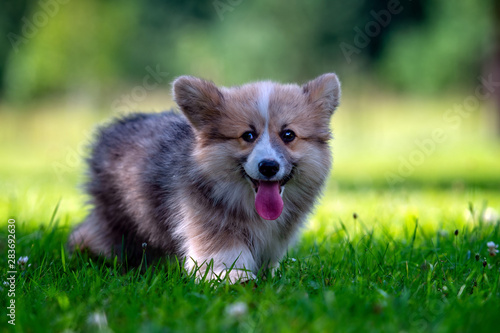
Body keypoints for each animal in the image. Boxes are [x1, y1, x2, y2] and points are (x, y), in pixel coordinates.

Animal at [68, 72, 342, 280]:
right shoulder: (212, 228)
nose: (268, 167)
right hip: (117, 222)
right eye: (248, 136)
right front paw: (236, 280)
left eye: (288, 135)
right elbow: (227, 261)